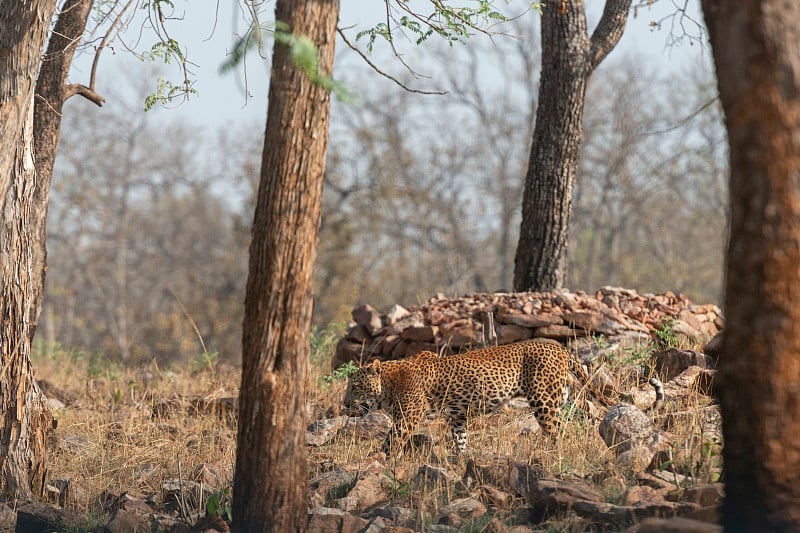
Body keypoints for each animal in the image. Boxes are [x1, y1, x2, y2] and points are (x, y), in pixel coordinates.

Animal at [340, 338, 608, 456]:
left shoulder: (406, 419)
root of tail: (560, 347)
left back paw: (554, 457)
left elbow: (390, 442)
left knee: (557, 432)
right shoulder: (457, 417)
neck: (388, 383)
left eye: (355, 386)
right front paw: (462, 461)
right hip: (562, 398)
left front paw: (375, 461)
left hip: (544, 401)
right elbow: (461, 440)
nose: (344, 403)